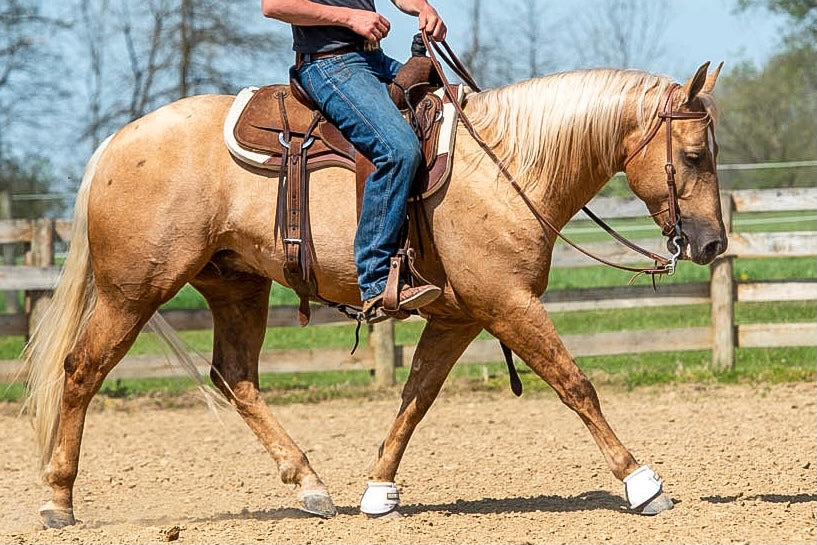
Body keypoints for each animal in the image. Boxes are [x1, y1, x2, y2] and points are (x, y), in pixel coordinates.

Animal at [25, 61, 724, 524]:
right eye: (694, 155)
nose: (713, 242)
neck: (508, 165)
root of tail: (116, 143)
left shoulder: (460, 317)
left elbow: (416, 397)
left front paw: (379, 490)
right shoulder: (507, 303)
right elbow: (575, 384)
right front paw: (642, 483)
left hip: (235, 286)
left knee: (236, 377)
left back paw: (310, 485)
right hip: (132, 292)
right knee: (81, 369)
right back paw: (59, 499)